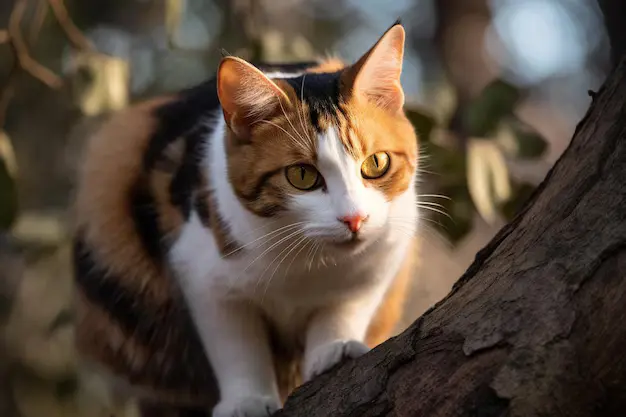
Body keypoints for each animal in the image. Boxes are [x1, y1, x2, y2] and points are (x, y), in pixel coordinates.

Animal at [73, 22, 420, 416]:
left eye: (376, 163)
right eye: (302, 175)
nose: (354, 218)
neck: (308, 261)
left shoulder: (382, 259)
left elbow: (343, 310)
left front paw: (336, 349)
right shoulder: (203, 276)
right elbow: (237, 347)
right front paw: (247, 400)